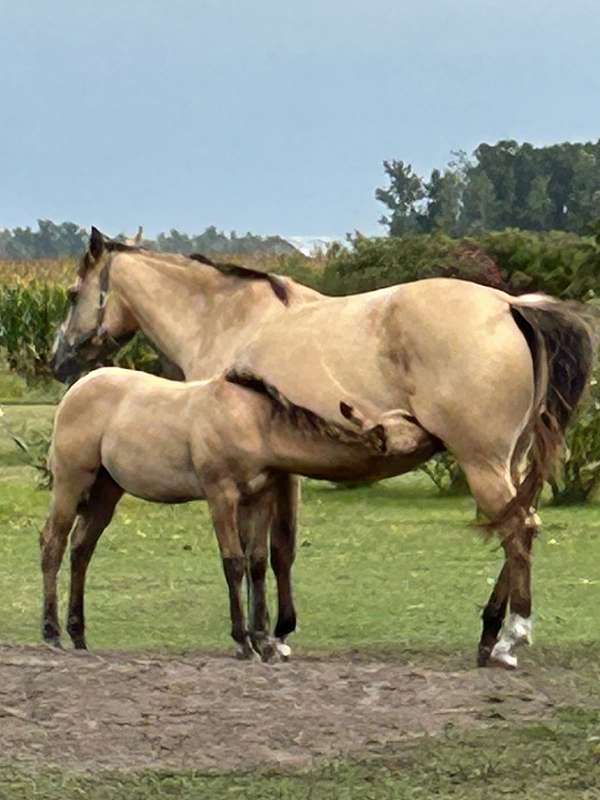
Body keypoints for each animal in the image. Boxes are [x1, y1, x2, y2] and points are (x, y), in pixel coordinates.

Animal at [50, 228, 595, 668]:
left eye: (73, 293)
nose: (59, 361)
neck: (229, 320)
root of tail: (508, 306)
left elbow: (263, 553)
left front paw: (264, 637)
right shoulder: (278, 471)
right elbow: (279, 551)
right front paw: (278, 634)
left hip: (481, 462)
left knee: (518, 532)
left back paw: (510, 639)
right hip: (508, 463)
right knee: (519, 526)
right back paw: (489, 635)